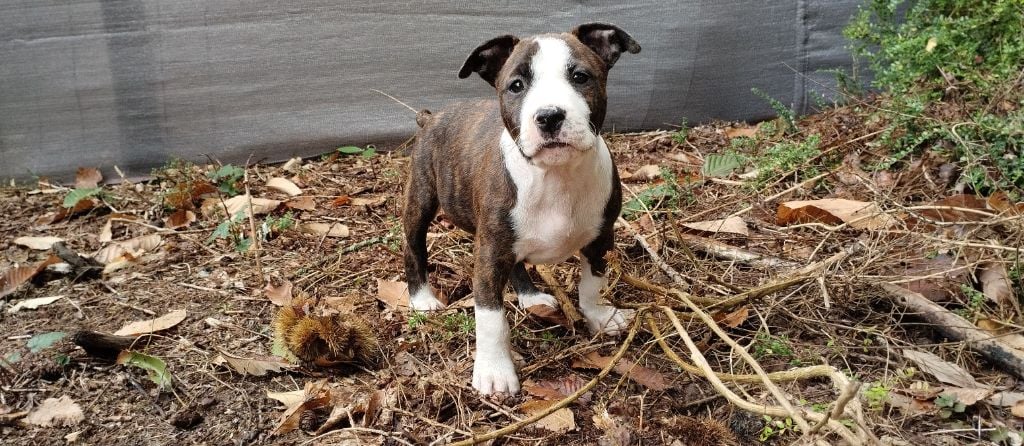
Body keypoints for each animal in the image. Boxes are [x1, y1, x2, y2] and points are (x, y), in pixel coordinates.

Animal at [401, 23, 634, 392]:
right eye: (516, 86)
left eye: (580, 77)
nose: (549, 116)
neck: (555, 176)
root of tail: (431, 117)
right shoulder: (489, 253)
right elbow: (491, 318)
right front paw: (495, 371)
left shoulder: (601, 239)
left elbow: (591, 284)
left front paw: (598, 315)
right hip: (421, 197)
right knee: (414, 247)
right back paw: (422, 298)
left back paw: (531, 297)